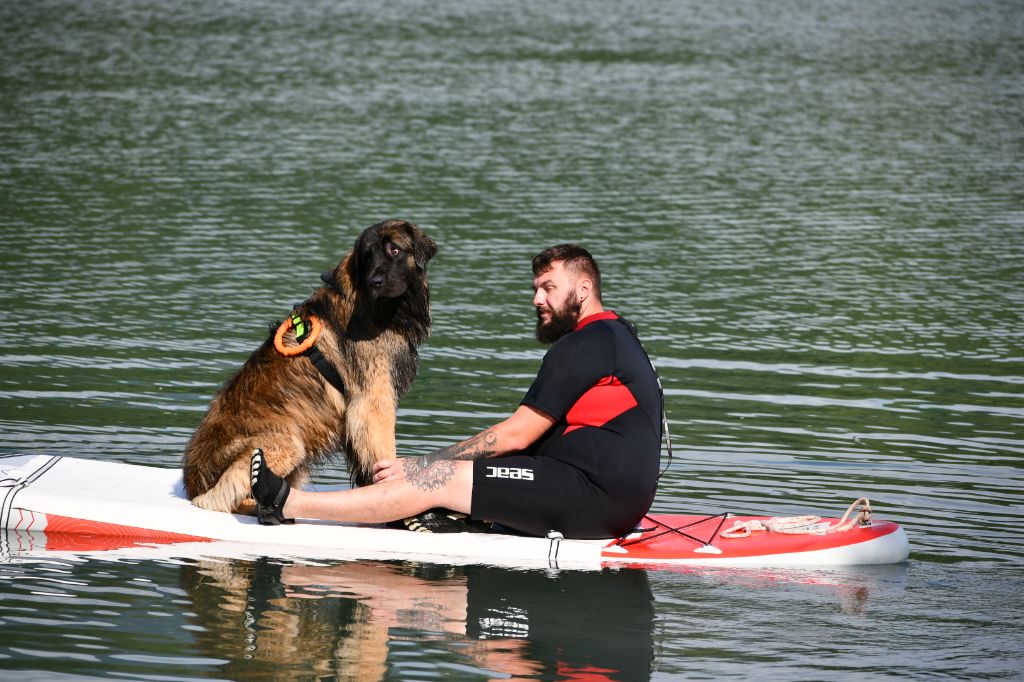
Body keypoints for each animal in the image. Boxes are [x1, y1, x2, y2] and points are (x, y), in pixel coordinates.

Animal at [183, 220, 436, 512]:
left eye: (394, 250)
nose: (375, 282)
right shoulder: (372, 405)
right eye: (367, 257)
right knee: (220, 500)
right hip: (286, 445)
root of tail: (192, 483)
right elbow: (384, 456)